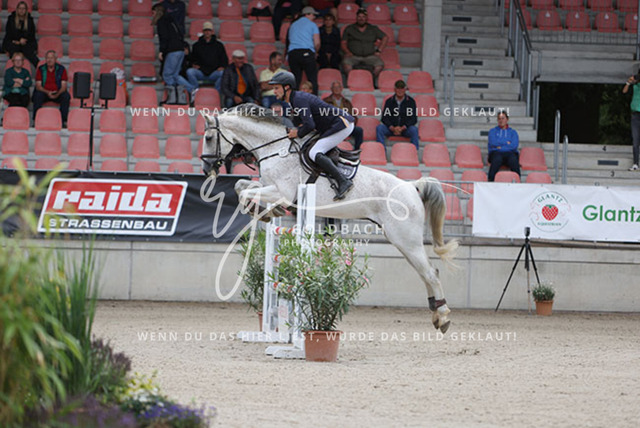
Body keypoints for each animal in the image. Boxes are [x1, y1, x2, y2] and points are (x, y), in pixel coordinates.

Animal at [200, 104, 458, 333]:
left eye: (209, 138)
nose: (206, 169)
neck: (277, 149)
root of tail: (412, 186)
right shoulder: (267, 185)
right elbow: (240, 186)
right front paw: (268, 212)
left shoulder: (282, 192)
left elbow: (244, 192)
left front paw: (265, 212)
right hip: (402, 242)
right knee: (425, 273)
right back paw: (435, 313)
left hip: (406, 240)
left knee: (430, 273)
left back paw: (444, 317)